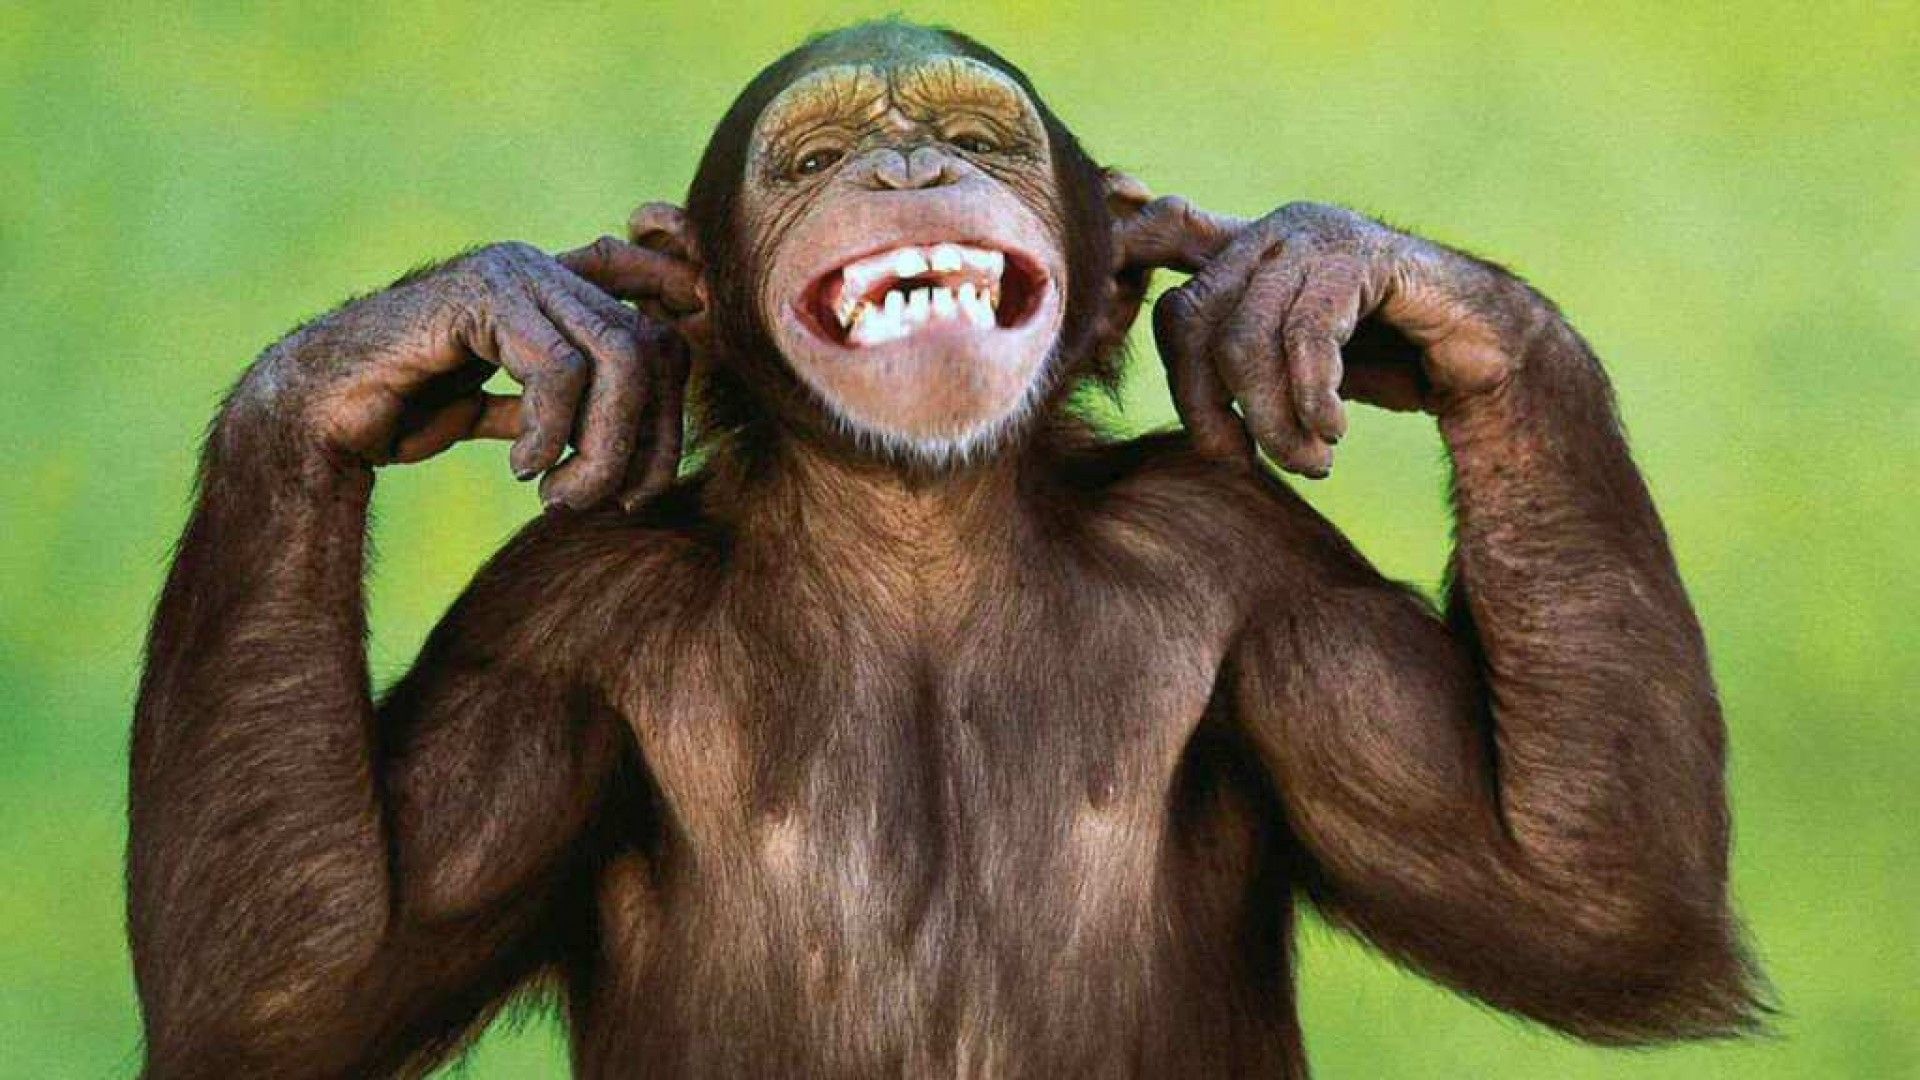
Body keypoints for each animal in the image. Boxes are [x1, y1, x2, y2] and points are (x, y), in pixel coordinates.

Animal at [128, 18, 1765, 1079]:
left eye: (978, 139)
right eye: (815, 157)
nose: (910, 172)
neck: (913, 530)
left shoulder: (1255, 564)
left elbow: (1577, 902)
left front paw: (1341, 271)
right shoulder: (552, 627)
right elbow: (300, 982)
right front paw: (436, 330)